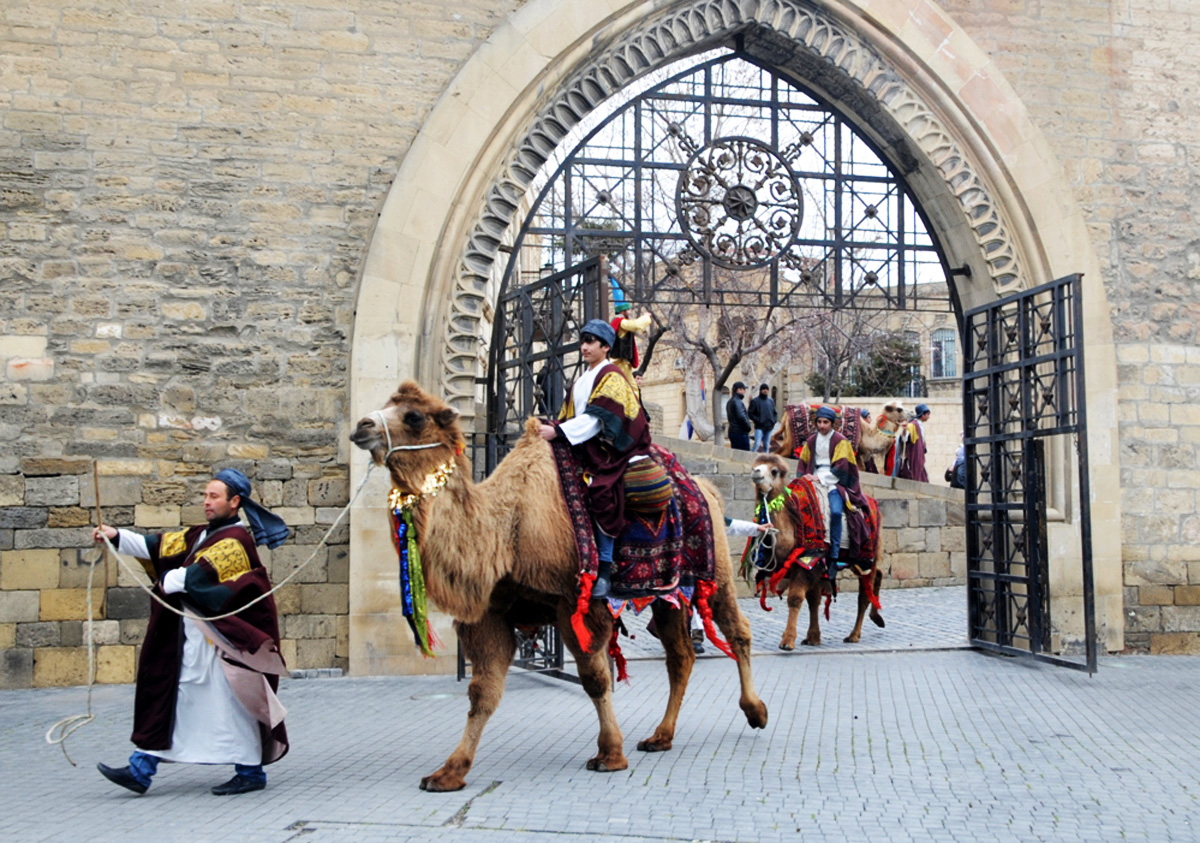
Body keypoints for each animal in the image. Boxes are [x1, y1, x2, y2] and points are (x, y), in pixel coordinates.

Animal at [350, 384, 772, 792]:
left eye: (414, 416)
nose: (362, 425)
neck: (506, 530)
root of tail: (710, 491)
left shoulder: (575, 604)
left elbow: (595, 679)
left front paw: (609, 755)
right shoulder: (491, 613)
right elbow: (482, 692)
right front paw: (448, 773)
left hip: (713, 573)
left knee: (737, 631)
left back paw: (756, 712)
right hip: (668, 593)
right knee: (680, 655)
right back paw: (660, 737)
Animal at [744, 458, 888, 648]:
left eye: (774, 471)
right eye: (755, 465)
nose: (756, 472)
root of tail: (875, 505)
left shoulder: (809, 559)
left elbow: (796, 598)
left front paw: (787, 641)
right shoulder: (814, 565)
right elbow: (813, 599)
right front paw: (812, 637)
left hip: (866, 555)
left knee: (864, 594)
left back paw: (854, 635)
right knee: (878, 574)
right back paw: (877, 618)